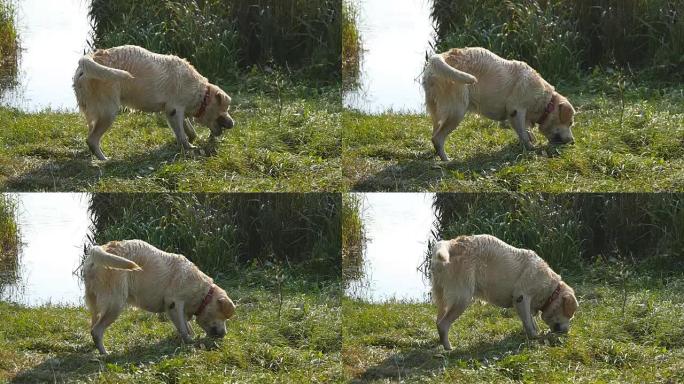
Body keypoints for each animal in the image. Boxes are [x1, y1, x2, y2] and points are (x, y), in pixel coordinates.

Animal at [71, 45, 234, 160]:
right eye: (226, 108)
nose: (233, 124)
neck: (202, 94)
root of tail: (90, 58)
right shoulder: (174, 110)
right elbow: (181, 135)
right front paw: (189, 148)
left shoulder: (174, 111)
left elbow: (188, 129)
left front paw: (191, 139)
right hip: (109, 112)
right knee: (91, 140)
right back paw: (104, 160)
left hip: (94, 114)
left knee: (90, 135)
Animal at [83, 240, 235, 354]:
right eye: (224, 316)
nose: (224, 334)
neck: (204, 294)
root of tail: (98, 250)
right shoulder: (174, 304)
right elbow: (184, 329)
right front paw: (191, 343)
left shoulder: (178, 309)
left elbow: (187, 326)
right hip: (116, 304)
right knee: (96, 331)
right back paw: (105, 354)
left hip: (96, 305)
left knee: (92, 326)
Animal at [422, 47, 576, 160]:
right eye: (570, 123)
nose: (573, 141)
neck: (546, 102)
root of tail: (441, 57)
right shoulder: (517, 110)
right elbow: (523, 133)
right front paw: (531, 148)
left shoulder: (514, 115)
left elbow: (524, 131)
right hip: (457, 112)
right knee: (437, 138)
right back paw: (447, 161)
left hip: (437, 113)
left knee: (434, 134)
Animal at [432, 234, 576, 352]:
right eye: (570, 314)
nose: (567, 332)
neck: (551, 290)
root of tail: (451, 243)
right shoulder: (521, 297)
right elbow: (529, 323)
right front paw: (535, 338)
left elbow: (531, 320)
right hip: (463, 298)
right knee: (443, 324)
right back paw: (449, 348)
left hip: (443, 300)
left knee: (438, 322)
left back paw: (441, 343)